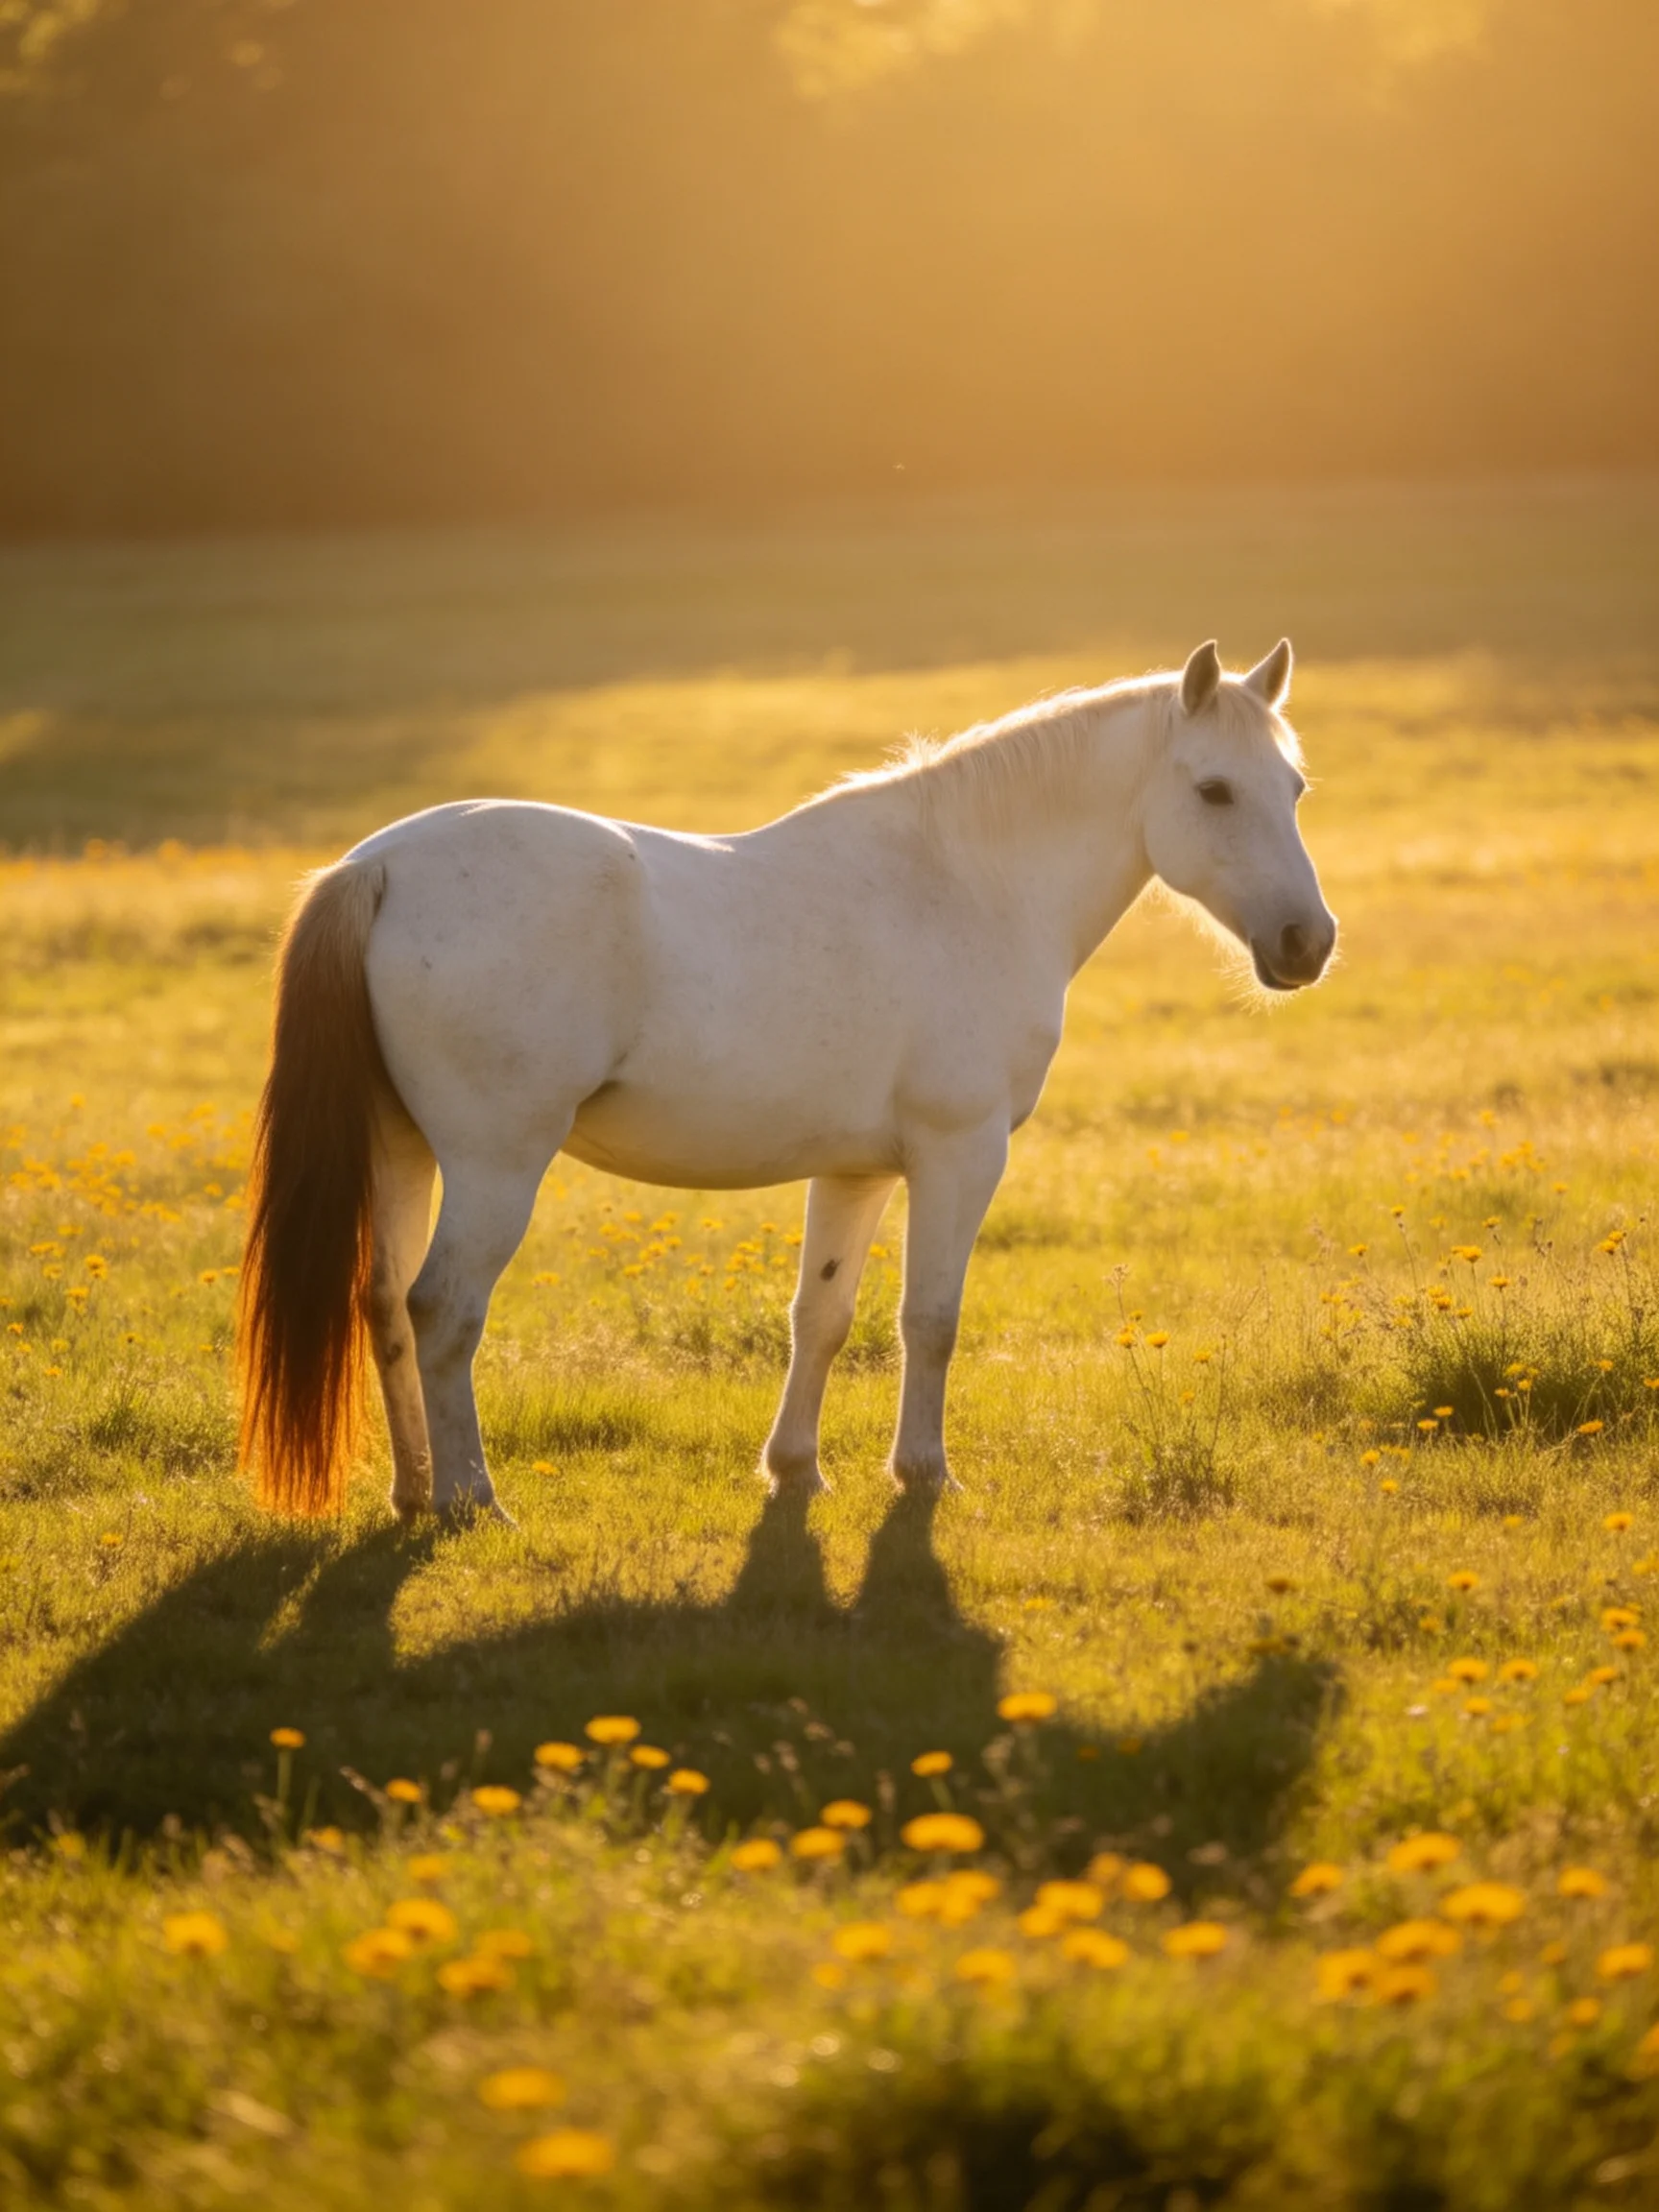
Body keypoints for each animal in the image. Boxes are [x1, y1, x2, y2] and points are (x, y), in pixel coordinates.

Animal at [237, 638, 1336, 1523]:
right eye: (1213, 790)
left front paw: (797, 1470)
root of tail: (378, 868)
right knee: (444, 1310)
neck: (962, 885)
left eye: (1294, 788)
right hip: (495, 1164)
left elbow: (823, 1316)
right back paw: (472, 1499)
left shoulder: (855, 1171)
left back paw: (414, 1492)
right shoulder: (960, 1154)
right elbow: (930, 1320)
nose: (1307, 942)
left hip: (402, 1152)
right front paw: (925, 1474)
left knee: (383, 1305)